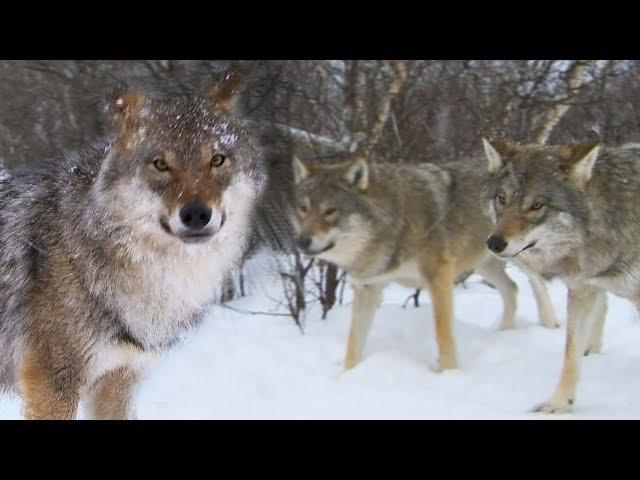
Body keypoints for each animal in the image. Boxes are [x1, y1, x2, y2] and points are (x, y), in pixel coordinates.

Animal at [292, 156, 556, 374]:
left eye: (330, 211)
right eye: (303, 209)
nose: (301, 241)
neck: (394, 222)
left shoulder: (438, 277)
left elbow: (443, 334)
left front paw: (449, 375)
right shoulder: (368, 288)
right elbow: (353, 344)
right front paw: (346, 376)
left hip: (521, 255)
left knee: (539, 284)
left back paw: (550, 326)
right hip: (485, 264)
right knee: (512, 288)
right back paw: (503, 332)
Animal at [482, 136, 640, 412]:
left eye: (537, 205)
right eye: (502, 198)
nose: (494, 243)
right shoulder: (581, 291)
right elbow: (570, 356)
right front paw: (558, 406)